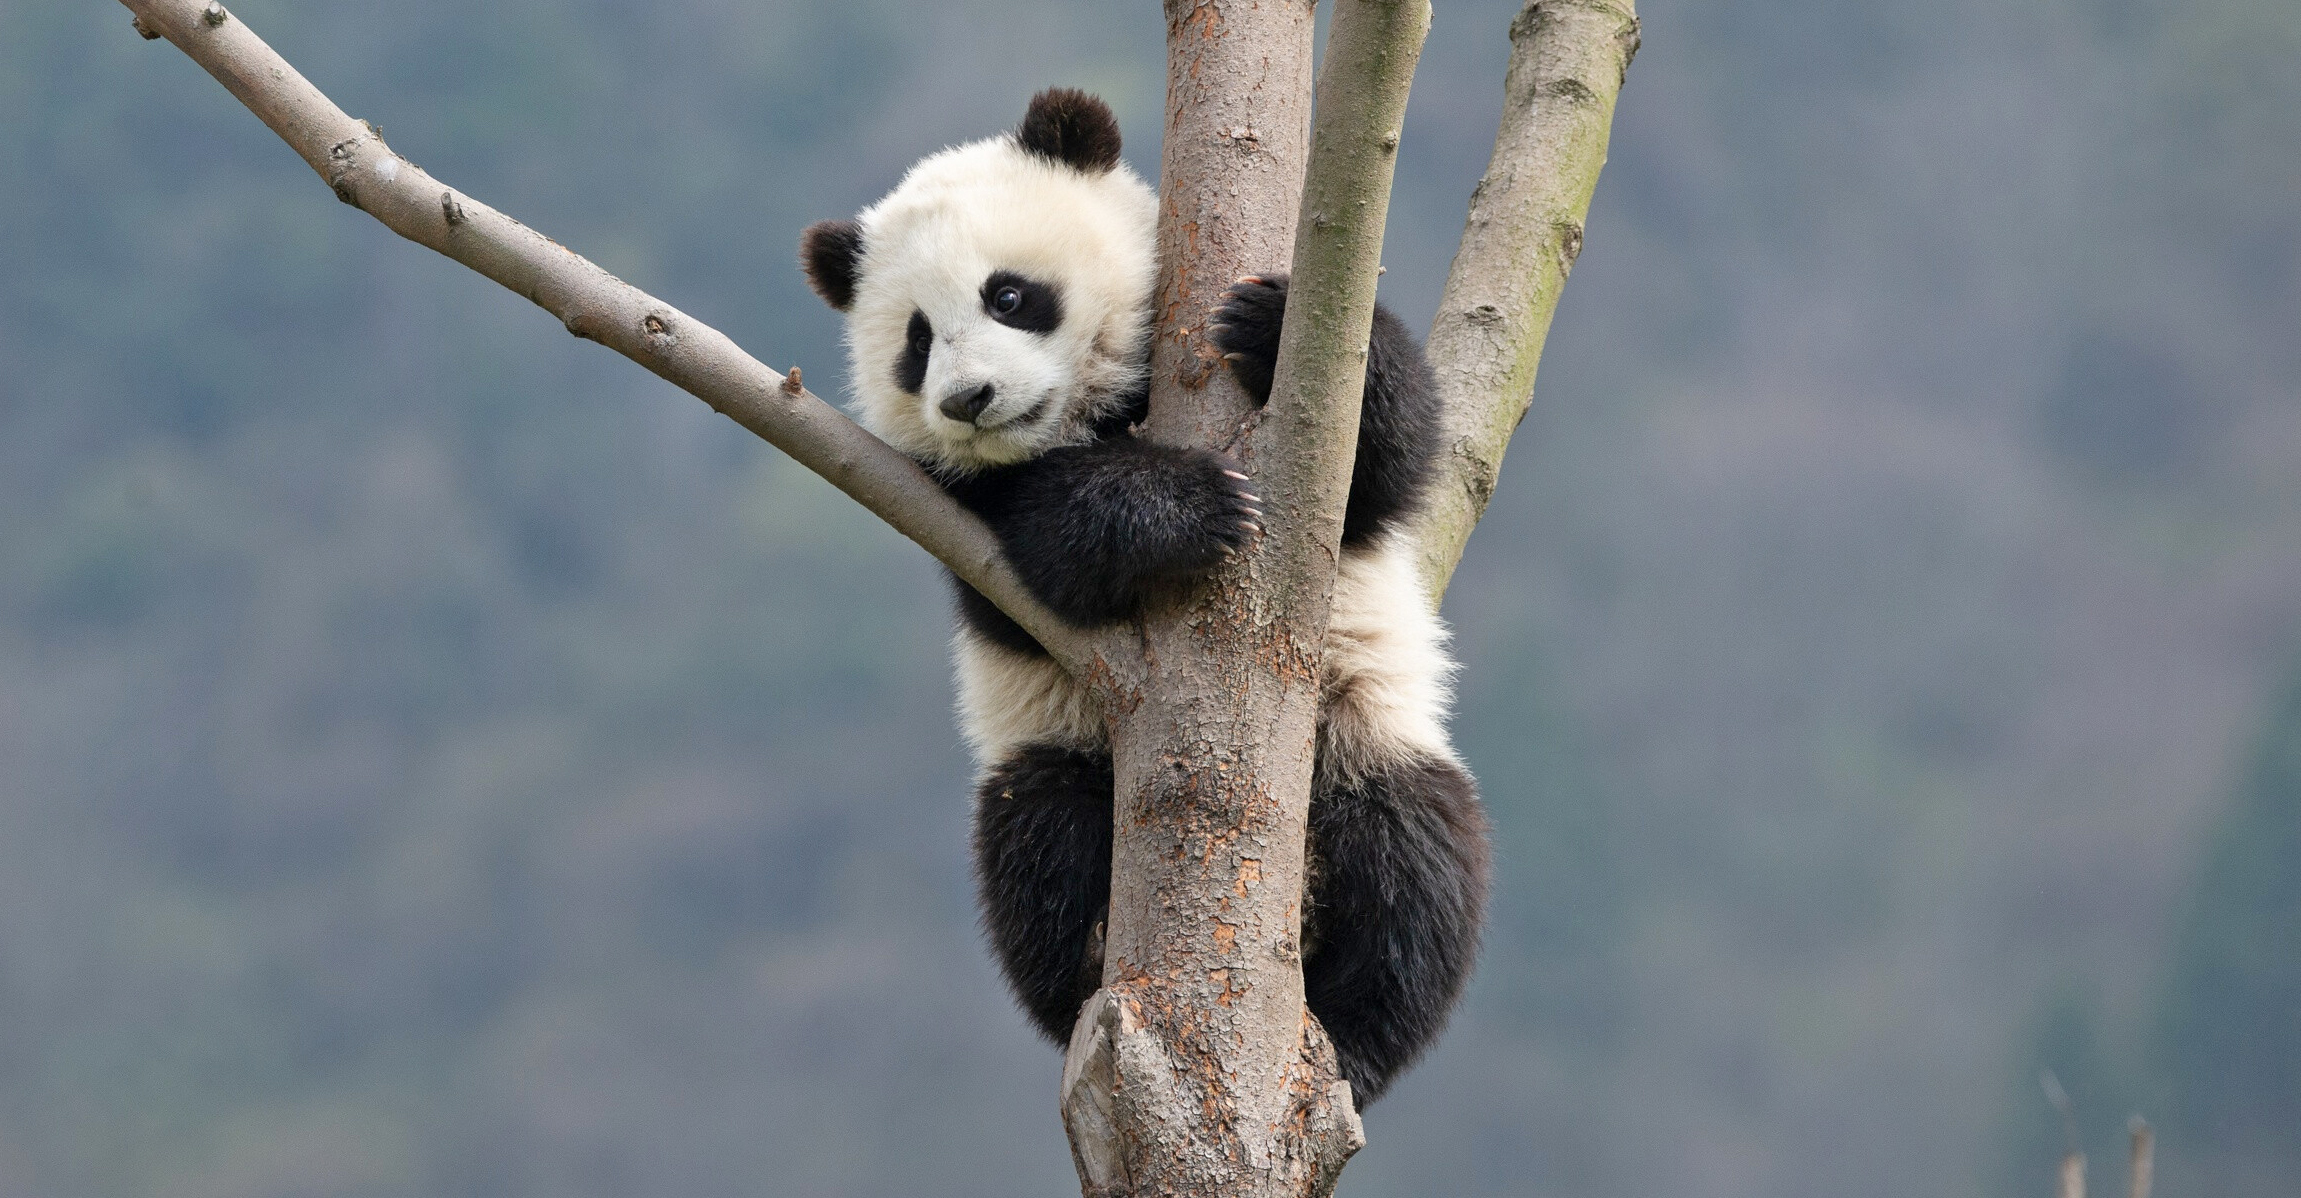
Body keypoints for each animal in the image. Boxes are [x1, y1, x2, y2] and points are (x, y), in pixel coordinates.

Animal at [797, 89, 1488, 1105]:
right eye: (916, 344)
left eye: (1008, 296)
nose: (968, 399)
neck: (1091, 414)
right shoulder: (945, 506)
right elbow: (1038, 551)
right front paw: (1191, 506)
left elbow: (1385, 461)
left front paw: (1269, 320)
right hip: (1059, 748)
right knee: (1037, 837)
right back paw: (1086, 954)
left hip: (1363, 735)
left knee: (1411, 865)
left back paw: (1355, 1041)